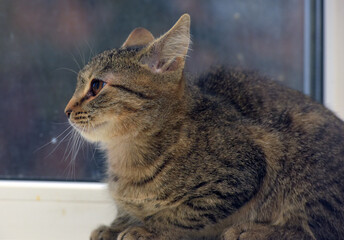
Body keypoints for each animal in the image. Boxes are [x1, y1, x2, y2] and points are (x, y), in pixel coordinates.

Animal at [64, 14, 344, 239]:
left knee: (313, 229)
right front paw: (115, 226)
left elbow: (183, 214)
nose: (66, 110)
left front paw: (148, 229)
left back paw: (252, 231)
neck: (125, 157)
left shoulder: (241, 172)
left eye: (97, 86)